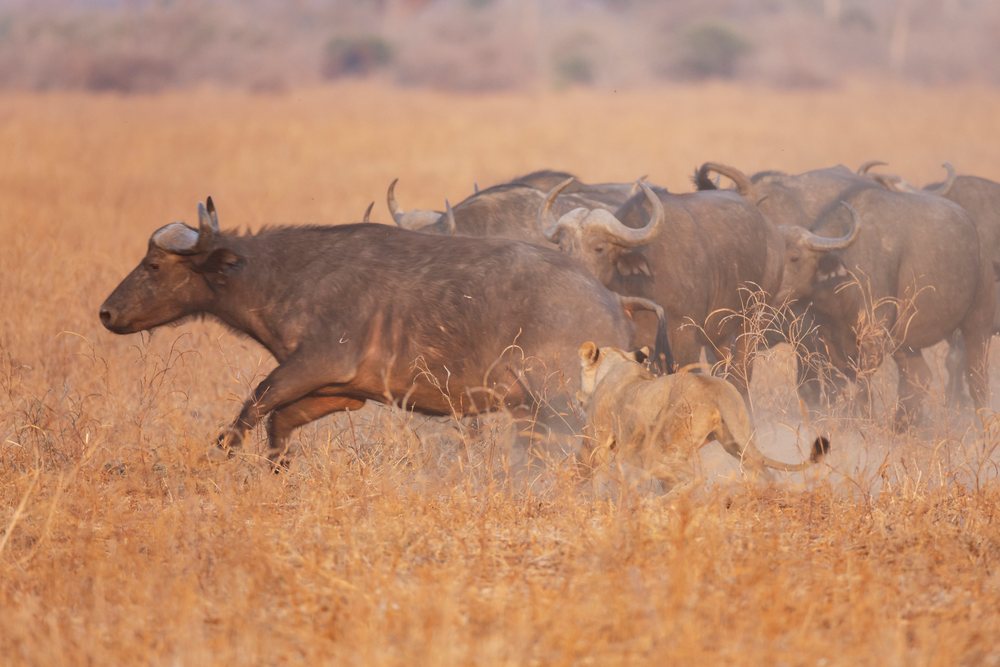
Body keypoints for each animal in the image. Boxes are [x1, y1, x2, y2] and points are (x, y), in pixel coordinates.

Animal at [576, 341, 830, 493]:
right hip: (736, 442)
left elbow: (590, 474)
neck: (617, 364)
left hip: (655, 450)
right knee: (763, 471)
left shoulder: (597, 443)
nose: (578, 398)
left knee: (694, 478)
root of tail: (713, 388)